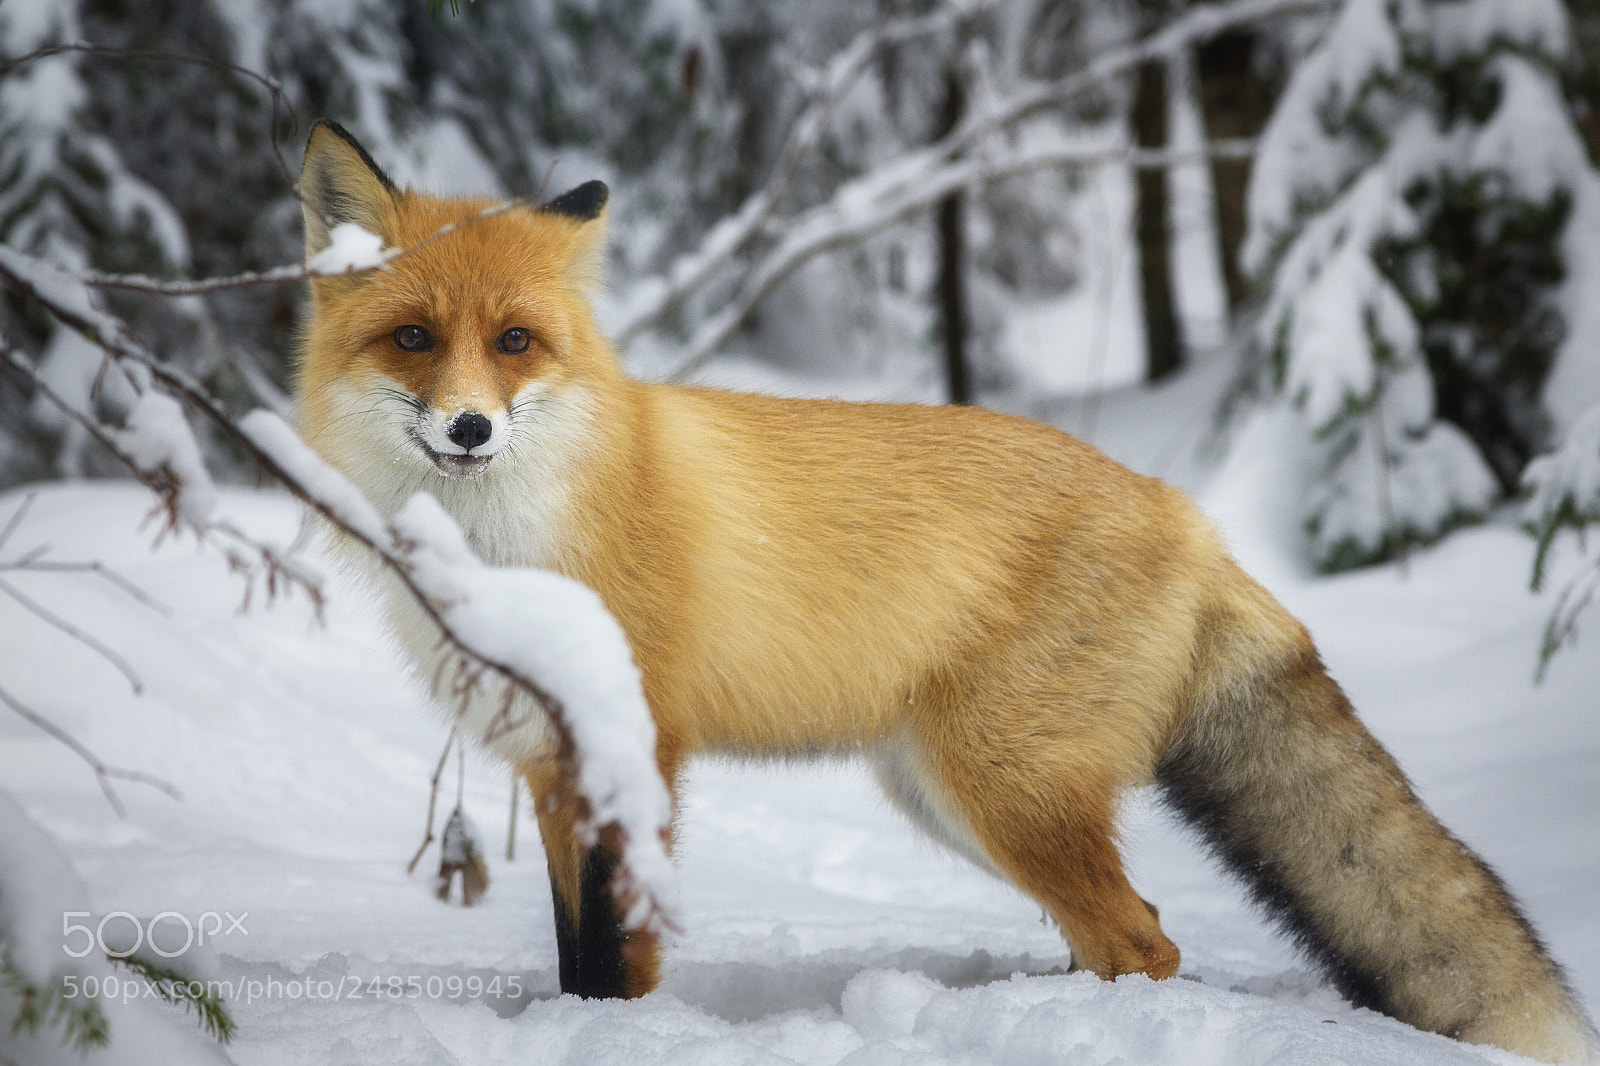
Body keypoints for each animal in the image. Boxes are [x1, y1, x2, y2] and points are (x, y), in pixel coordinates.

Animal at [293, 118, 1599, 1063]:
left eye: (515, 344)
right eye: (414, 339)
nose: (468, 429)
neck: (507, 551)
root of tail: (1189, 514)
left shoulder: (633, 748)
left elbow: (621, 962)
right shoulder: (551, 764)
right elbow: (578, 957)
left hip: (1003, 791)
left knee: (1146, 943)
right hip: (947, 796)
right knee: (1131, 936)